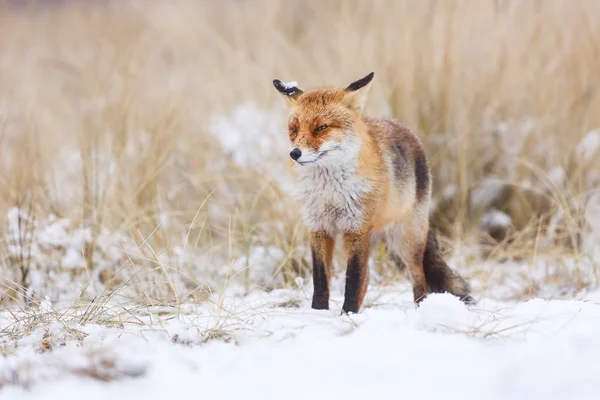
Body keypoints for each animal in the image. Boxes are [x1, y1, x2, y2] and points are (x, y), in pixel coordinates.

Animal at [274, 73, 474, 314]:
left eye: (321, 127)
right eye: (293, 130)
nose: (295, 153)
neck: (331, 193)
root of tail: (405, 129)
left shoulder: (357, 229)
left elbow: (353, 279)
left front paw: (348, 313)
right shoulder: (319, 229)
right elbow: (321, 280)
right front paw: (319, 313)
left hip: (404, 239)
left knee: (418, 274)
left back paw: (420, 308)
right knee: (368, 279)